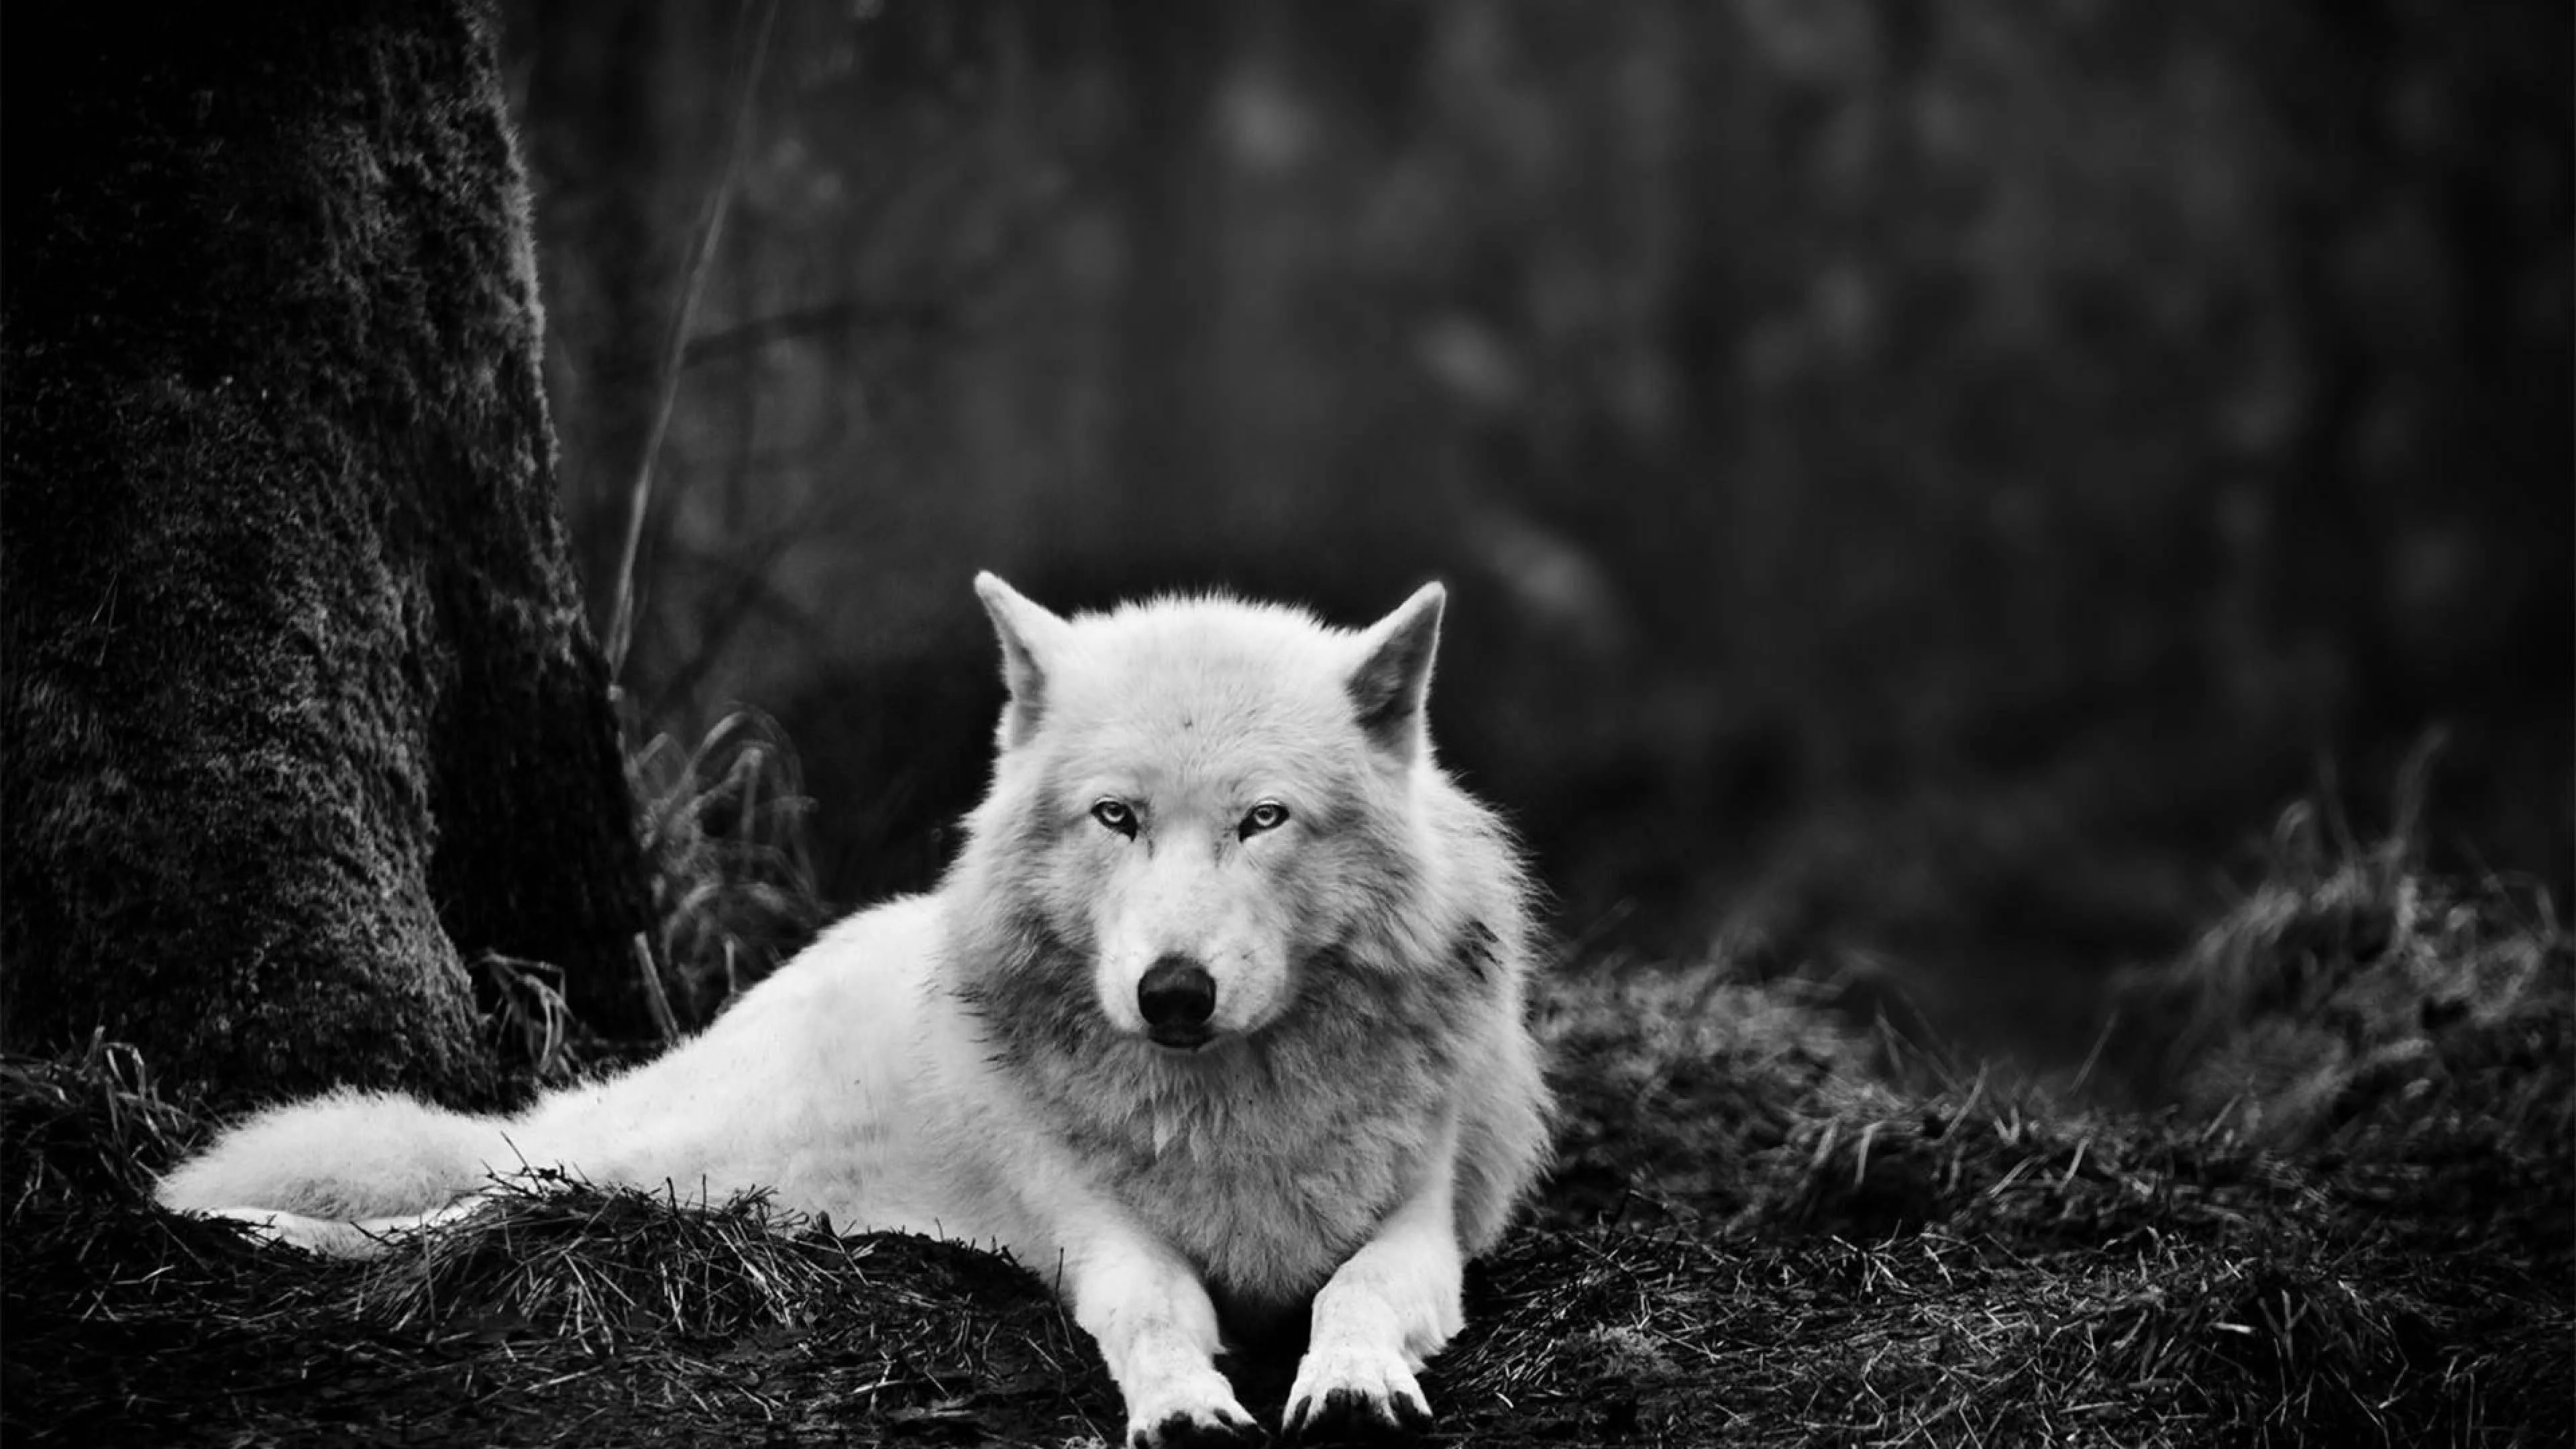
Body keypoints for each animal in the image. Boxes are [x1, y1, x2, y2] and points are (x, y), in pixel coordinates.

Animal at [158, 574, 1553, 1446]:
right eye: (1117, 816)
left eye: (1264, 819)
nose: (1172, 992)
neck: (1229, 1110)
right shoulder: (1100, 1236)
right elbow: (1160, 1314)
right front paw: (1186, 1408)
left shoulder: (1425, 1230)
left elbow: (1352, 1297)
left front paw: (1352, 1383)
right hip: (666, 1165)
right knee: (477, 1191)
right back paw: (242, 1222)